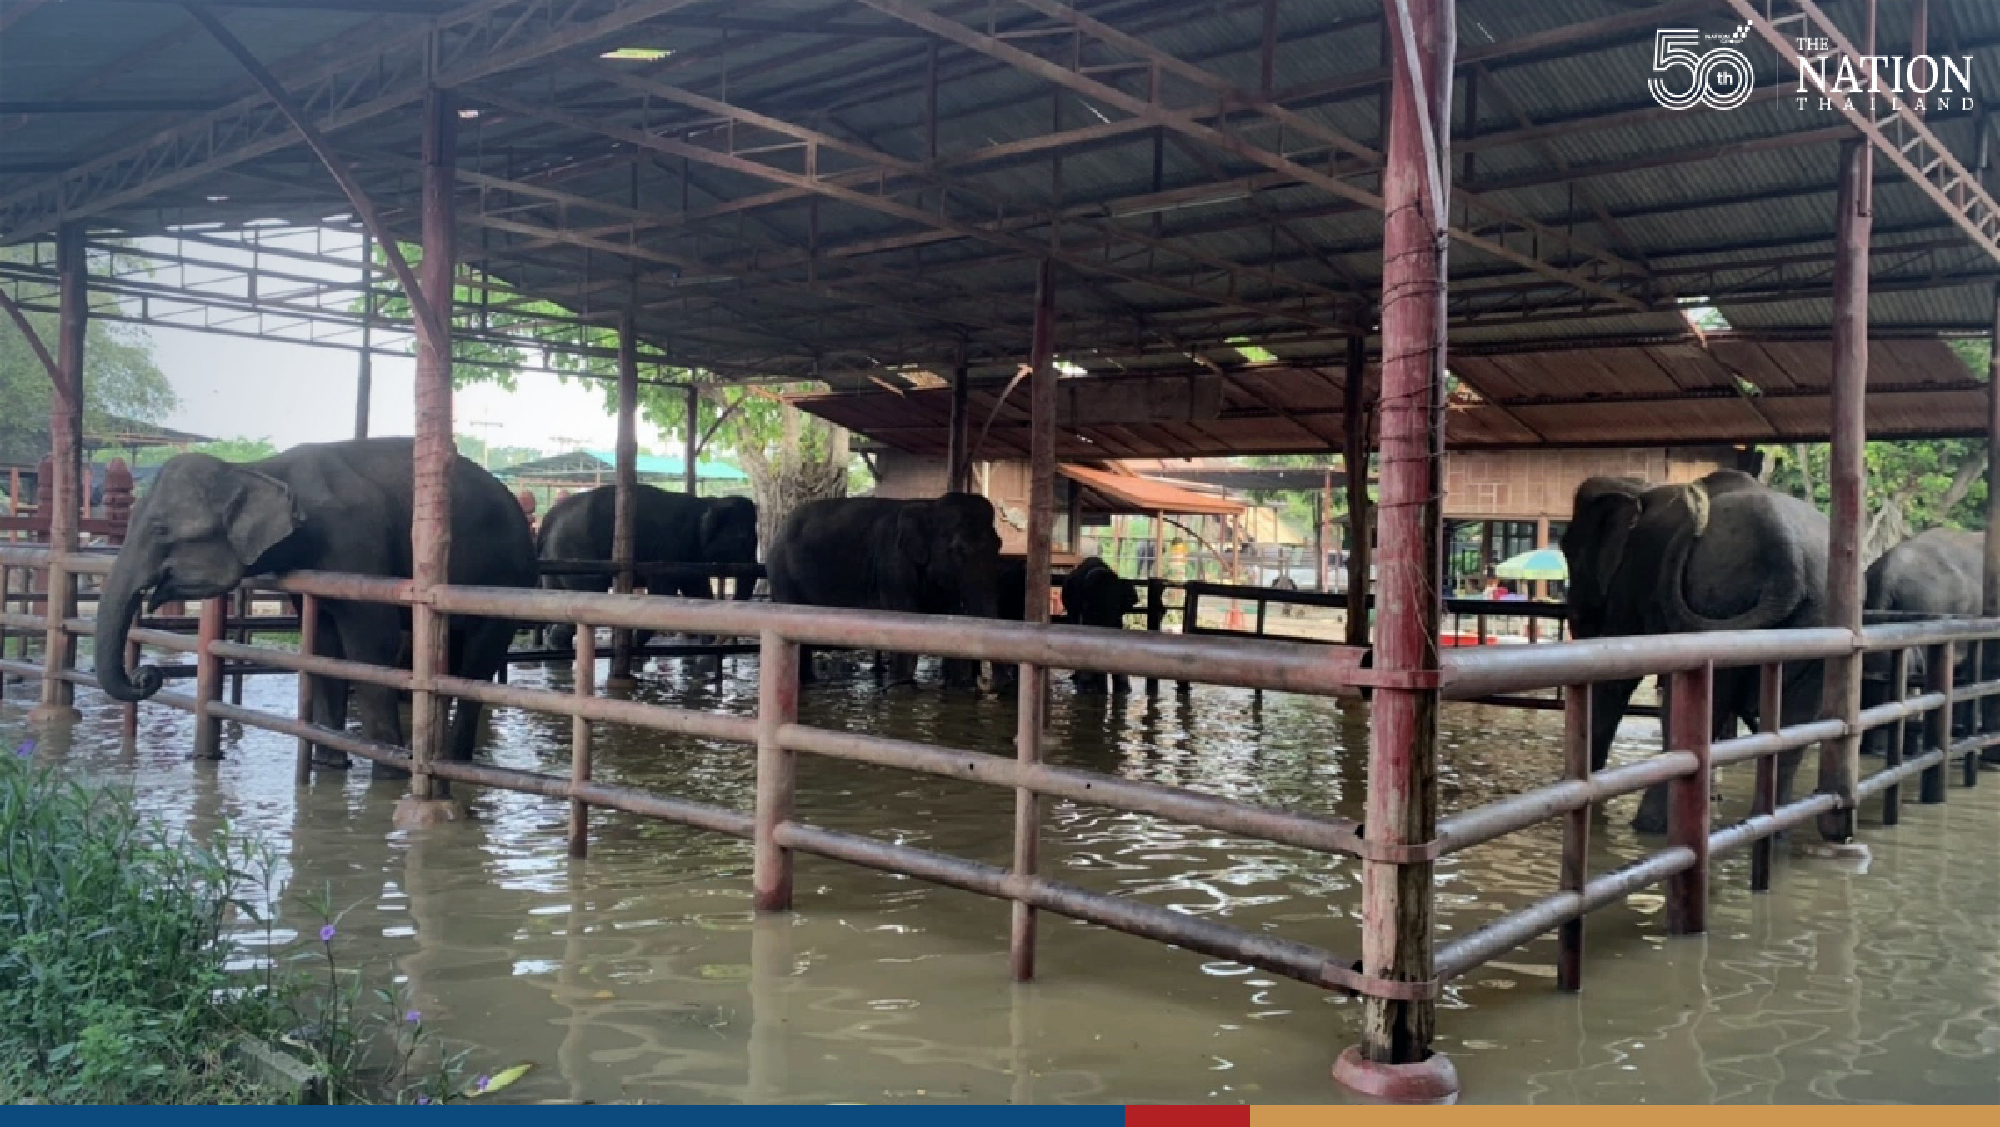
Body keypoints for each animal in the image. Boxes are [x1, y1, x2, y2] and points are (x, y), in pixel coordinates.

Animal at [95, 437, 538, 777]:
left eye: (160, 529)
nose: (146, 675)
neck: (256, 470)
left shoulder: (355, 543)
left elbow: (371, 643)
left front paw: (388, 775)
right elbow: (325, 646)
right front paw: (330, 766)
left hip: (507, 577)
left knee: (477, 664)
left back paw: (454, 762)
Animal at [535, 483, 758, 653]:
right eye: (743, 538)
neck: (706, 502)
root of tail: (549, 518)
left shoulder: (690, 556)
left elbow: (698, 592)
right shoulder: (670, 549)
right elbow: (663, 592)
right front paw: (634, 647)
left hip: (554, 559)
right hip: (576, 551)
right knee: (587, 593)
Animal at [765, 492, 1002, 686]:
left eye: (999, 545)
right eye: (958, 549)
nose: (987, 682)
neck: (930, 505)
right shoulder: (893, 565)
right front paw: (901, 686)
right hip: (783, 576)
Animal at [1562, 469, 1829, 833]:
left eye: (1567, 550)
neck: (1640, 485)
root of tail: (1786, 559)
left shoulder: (1629, 582)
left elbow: (1616, 681)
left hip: (1718, 596)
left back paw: (1649, 825)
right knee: (1796, 721)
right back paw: (1771, 828)